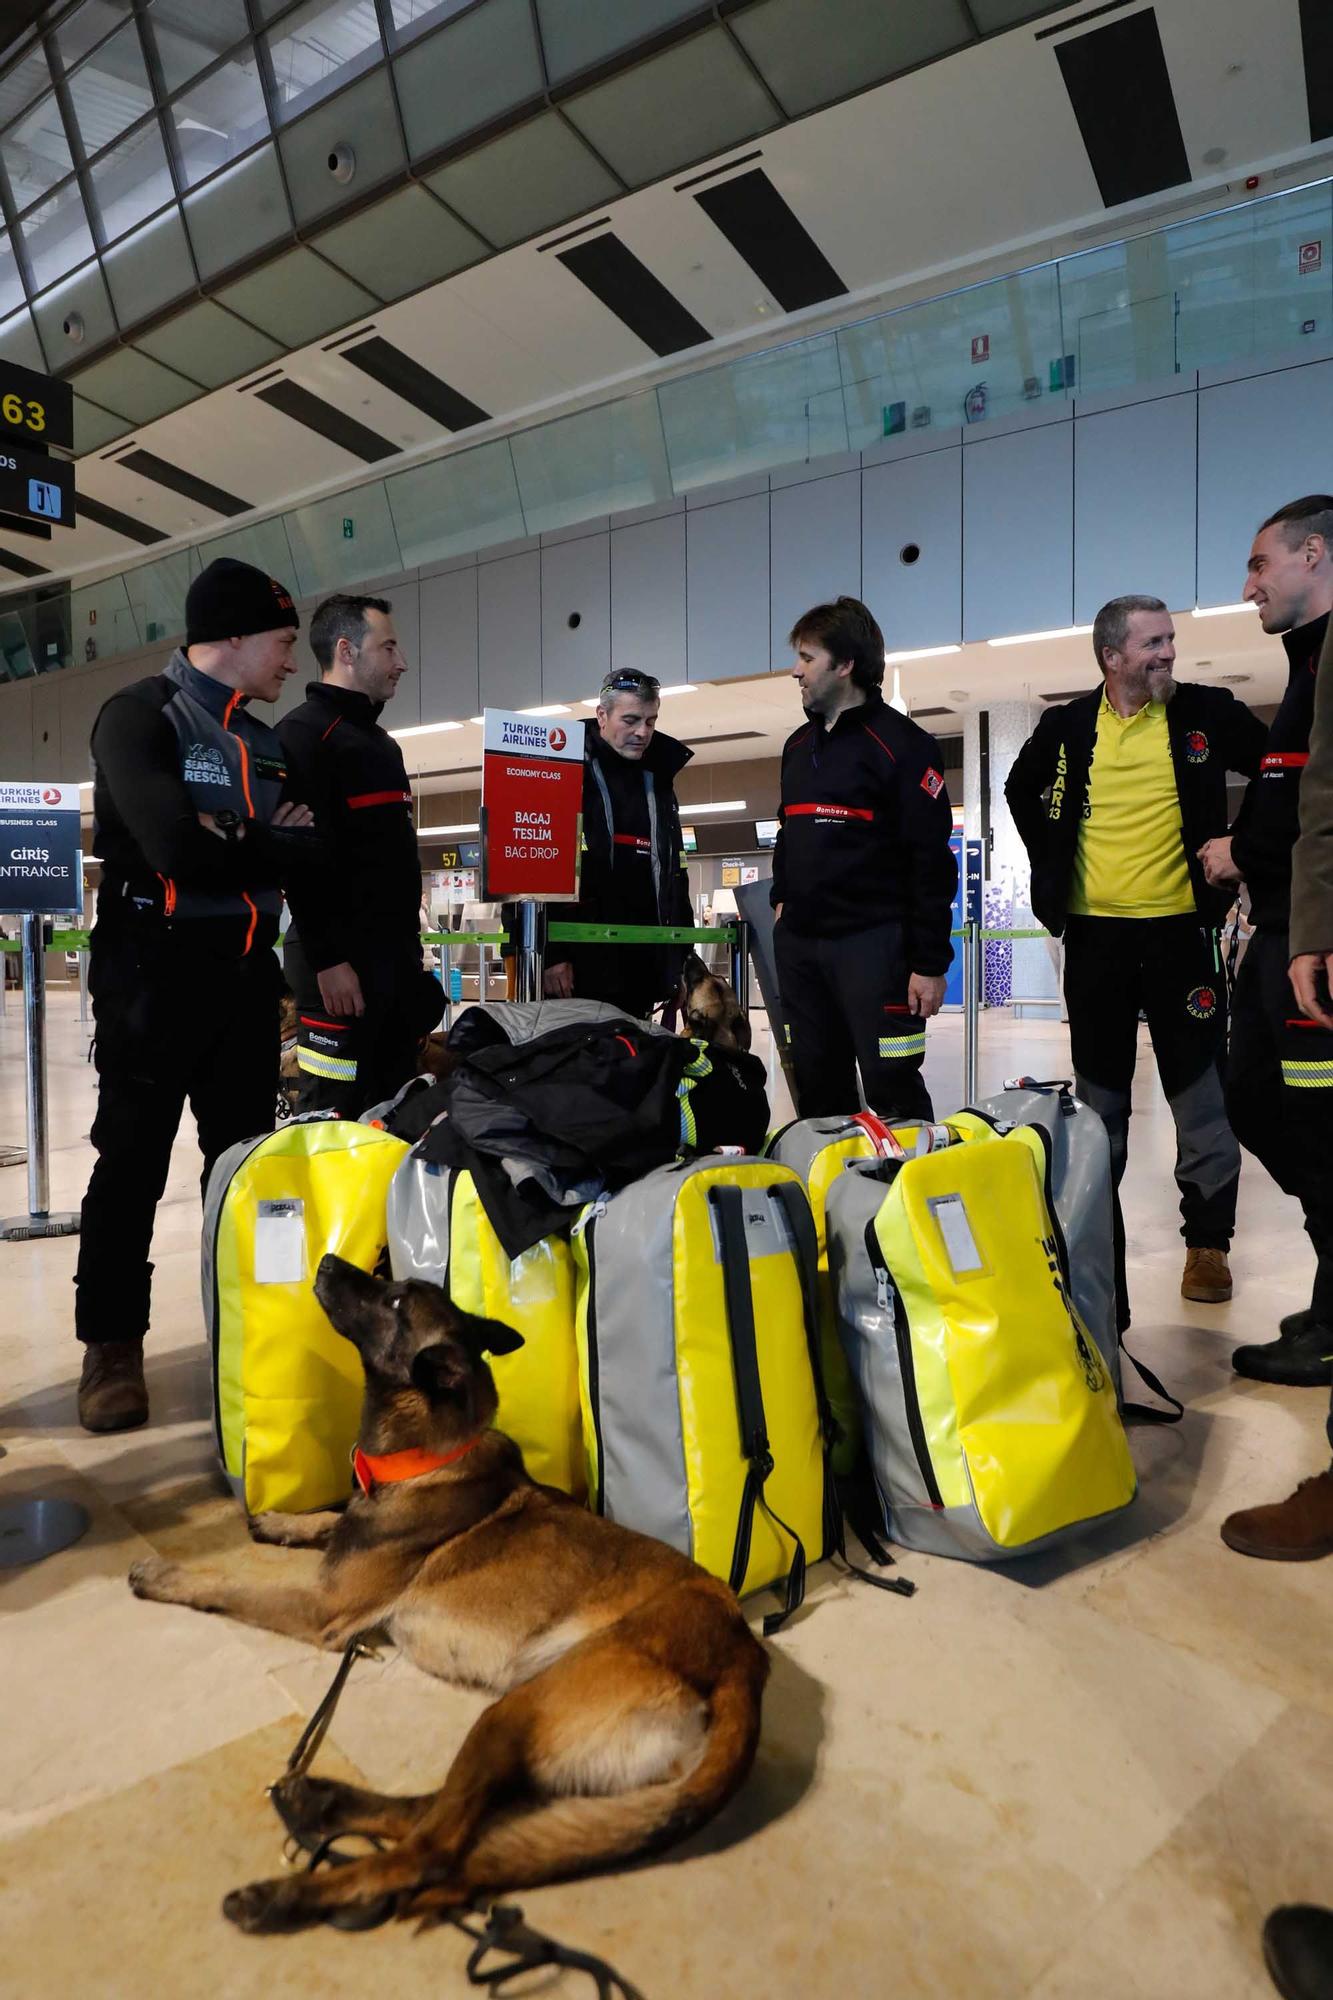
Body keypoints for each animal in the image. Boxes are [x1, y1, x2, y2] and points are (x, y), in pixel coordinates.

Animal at [130, 1256, 768, 1928]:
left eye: (394, 1301)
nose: (327, 1262)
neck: (425, 1457)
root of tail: (744, 1659)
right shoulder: (350, 1539)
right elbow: (332, 1517)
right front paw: (282, 1521)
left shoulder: (322, 1608)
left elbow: (233, 1585)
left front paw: (166, 1575)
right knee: (434, 1816)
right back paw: (323, 1802)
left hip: (513, 1713)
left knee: (430, 1851)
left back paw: (288, 1893)